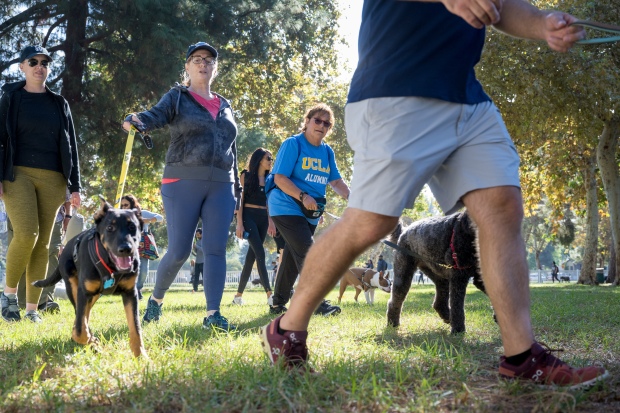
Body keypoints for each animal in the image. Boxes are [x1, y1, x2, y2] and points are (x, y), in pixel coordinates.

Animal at [34, 198, 147, 356]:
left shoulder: (131, 293)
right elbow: (80, 330)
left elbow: (136, 327)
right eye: (110, 228)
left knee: (85, 314)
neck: (111, 267)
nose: (126, 249)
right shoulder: (83, 293)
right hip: (74, 288)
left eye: (132, 226)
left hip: (94, 295)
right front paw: (90, 340)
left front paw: (141, 356)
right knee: (80, 316)